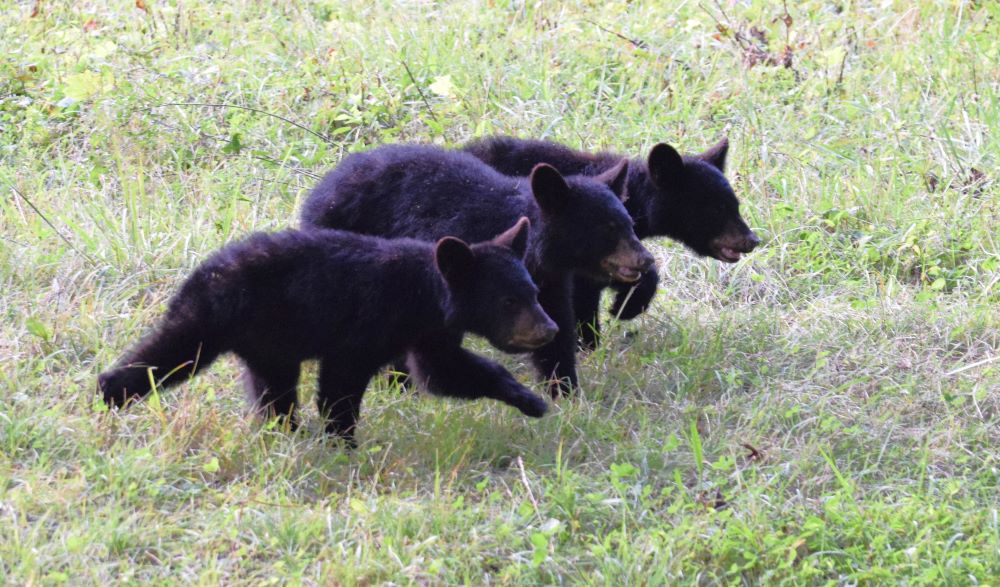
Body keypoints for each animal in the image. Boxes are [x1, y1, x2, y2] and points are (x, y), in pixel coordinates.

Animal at [97, 218, 557, 445]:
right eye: (508, 301)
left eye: (534, 293)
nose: (549, 329)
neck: (421, 295)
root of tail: (201, 271)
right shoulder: (365, 325)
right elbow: (341, 385)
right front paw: (343, 441)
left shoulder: (430, 334)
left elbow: (445, 372)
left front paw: (531, 401)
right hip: (213, 318)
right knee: (169, 354)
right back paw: (109, 393)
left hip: (270, 344)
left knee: (273, 391)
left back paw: (286, 431)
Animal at [299, 144, 655, 397]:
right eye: (606, 228)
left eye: (628, 222)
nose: (646, 259)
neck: (534, 250)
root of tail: (320, 189)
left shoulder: (546, 281)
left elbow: (557, 328)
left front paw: (565, 391)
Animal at [463, 136, 761, 349]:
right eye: (716, 209)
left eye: (735, 205)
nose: (752, 240)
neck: (630, 199)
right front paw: (604, 327)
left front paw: (623, 308)